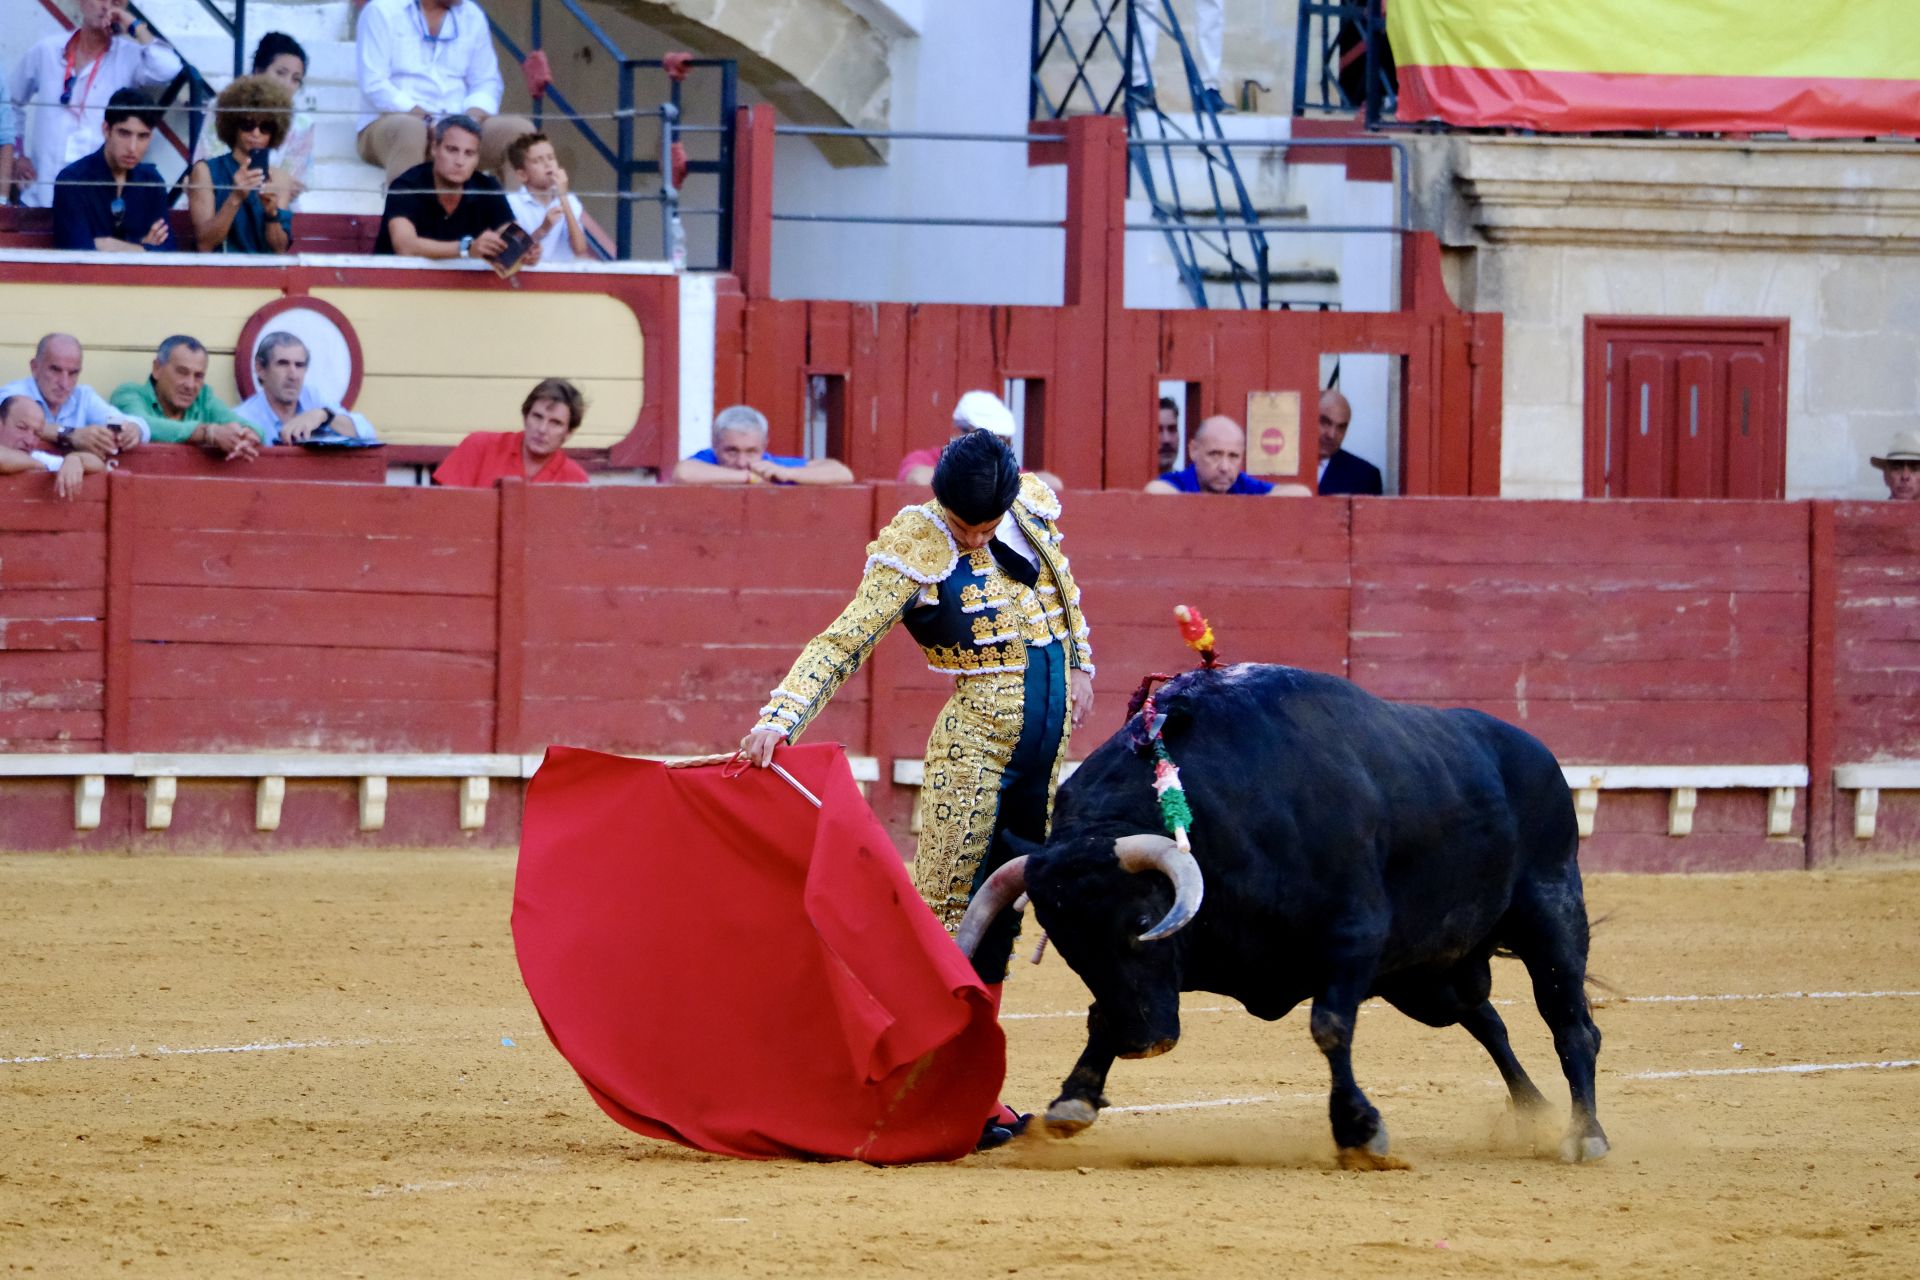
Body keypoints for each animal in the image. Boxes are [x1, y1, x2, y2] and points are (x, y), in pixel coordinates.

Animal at [956, 667, 1605, 1166]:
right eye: (1069, 949)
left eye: (1142, 923)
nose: (1142, 1042)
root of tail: (1536, 752)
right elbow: (1098, 1014)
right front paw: (1074, 1101)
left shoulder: (1355, 936)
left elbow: (1330, 1025)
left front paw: (1361, 1132)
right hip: (1428, 979)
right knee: (1485, 1018)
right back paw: (1534, 1113)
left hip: (1550, 912)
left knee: (1571, 1024)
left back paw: (1584, 1136)